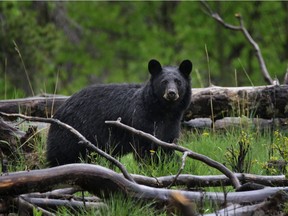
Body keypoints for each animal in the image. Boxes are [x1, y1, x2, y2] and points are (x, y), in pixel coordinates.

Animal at [46, 60, 192, 166]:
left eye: (178, 82)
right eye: (164, 82)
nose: (171, 93)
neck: (163, 111)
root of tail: (59, 110)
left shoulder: (172, 124)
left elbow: (167, 145)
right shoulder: (141, 121)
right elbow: (144, 148)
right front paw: (149, 166)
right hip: (71, 133)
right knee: (61, 154)